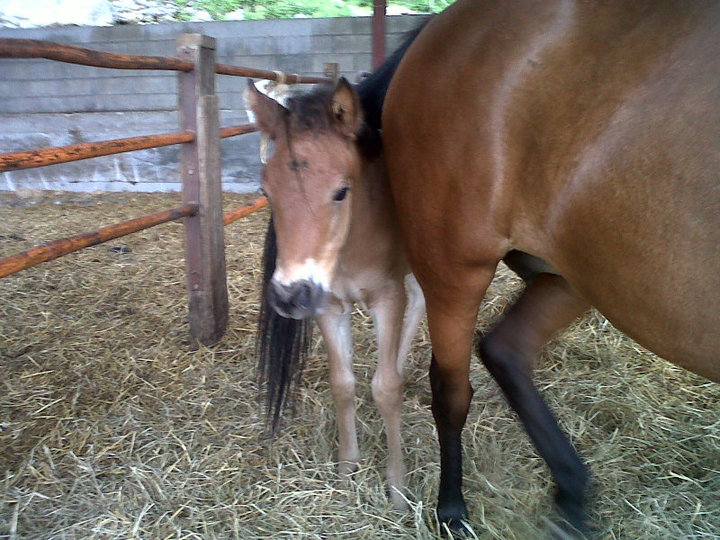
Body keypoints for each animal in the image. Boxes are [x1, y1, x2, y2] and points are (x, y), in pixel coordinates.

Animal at [380, 0, 716, 532]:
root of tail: (440, 25)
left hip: (577, 272)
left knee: (506, 348)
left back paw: (571, 494)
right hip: (457, 269)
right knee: (451, 390)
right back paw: (452, 507)